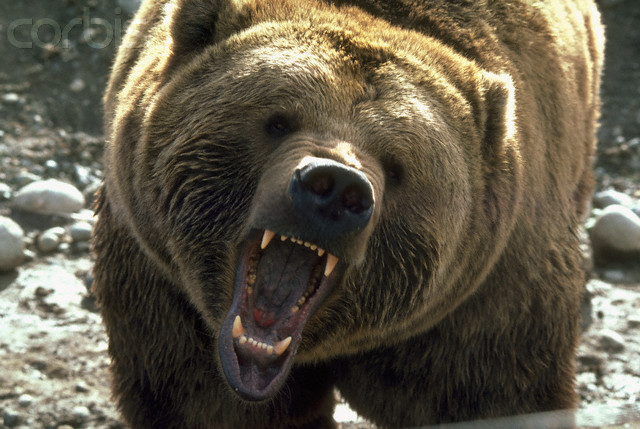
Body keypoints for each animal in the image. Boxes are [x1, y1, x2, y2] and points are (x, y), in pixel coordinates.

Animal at [92, 0, 604, 427]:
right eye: (279, 121)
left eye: (397, 166)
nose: (336, 188)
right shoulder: (163, 285)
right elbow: (202, 402)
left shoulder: (483, 306)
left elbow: (494, 397)